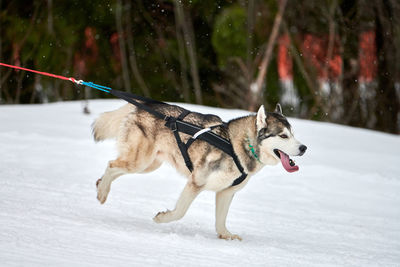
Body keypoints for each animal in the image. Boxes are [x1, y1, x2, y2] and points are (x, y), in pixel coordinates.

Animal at [93, 102, 306, 241]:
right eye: (283, 136)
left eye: (293, 134)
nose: (304, 148)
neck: (235, 146)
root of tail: (141, 106)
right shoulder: (196, 182)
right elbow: (179, 212)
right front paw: (162, 218)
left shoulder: (226, 192)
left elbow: (221, 220)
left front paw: (225, 235)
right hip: (140, 162)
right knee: (111, 164)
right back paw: (102, 192)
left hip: (148, 166)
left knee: (115, 168)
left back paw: (100, 185)